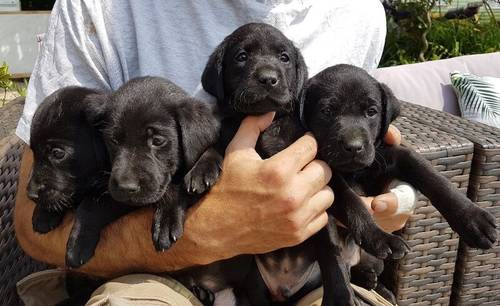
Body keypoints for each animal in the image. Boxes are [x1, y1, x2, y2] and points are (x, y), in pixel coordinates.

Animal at [28, 86, 132, 268]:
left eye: (58, 153)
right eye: (33, 152)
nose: (31, 195)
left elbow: (89, 207)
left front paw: (77, 246)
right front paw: (43, 212)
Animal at [200, 22, 356, 306]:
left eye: (284, 58)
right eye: (241, 56)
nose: (268, 78)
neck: (268, 123)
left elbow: (331, 249)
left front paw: (341, 293)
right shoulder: (228, 129)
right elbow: (215, 143)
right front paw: (202, 168)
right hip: (254, 278)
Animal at [300, 64, 496, 282]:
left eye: (371, 112)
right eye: (326, 111)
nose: (354, 147)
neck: (354, 171)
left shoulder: (392, 154)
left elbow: (433, 177)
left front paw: (472, 218)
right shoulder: (326, 177)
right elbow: (351, 200)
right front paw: (379, 237)